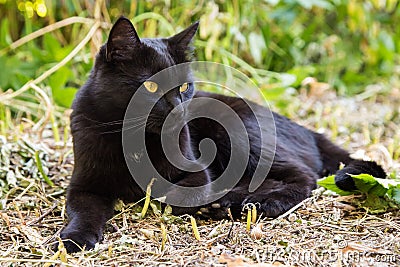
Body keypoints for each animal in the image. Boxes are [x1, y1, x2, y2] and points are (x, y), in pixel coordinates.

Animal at [58, 17, 384, 253]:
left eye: (183, 87)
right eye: (150, 86)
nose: (179, 110)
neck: (132, 137)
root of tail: (306, 129)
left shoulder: (197, 172)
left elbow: (176, 193)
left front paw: (221, 200)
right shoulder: (84, 185)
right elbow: (81, 210)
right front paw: (75, 238)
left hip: (236, 131)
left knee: (303, 175)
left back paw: (250, 201)